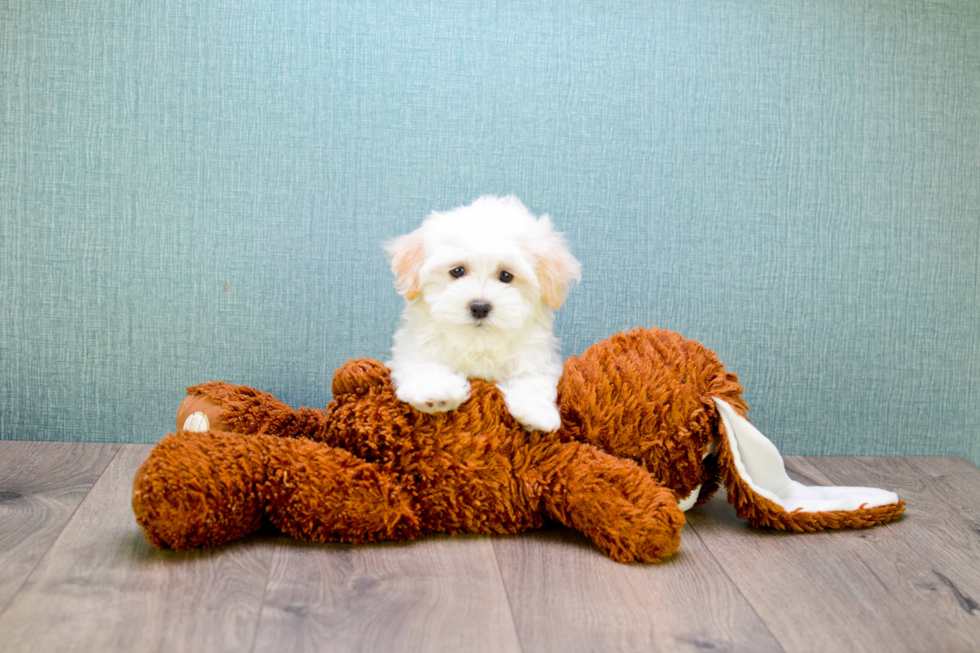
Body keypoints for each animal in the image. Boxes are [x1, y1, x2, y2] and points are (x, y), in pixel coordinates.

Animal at [382, 196, 580, 430]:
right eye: (457, 271)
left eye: (506, 276)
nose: (479, 307)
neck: (478, 341)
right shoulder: (415, 347)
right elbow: (424, 365)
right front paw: (436, 392)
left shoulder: (536, 355)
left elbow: (532, 378)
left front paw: (537, 412)